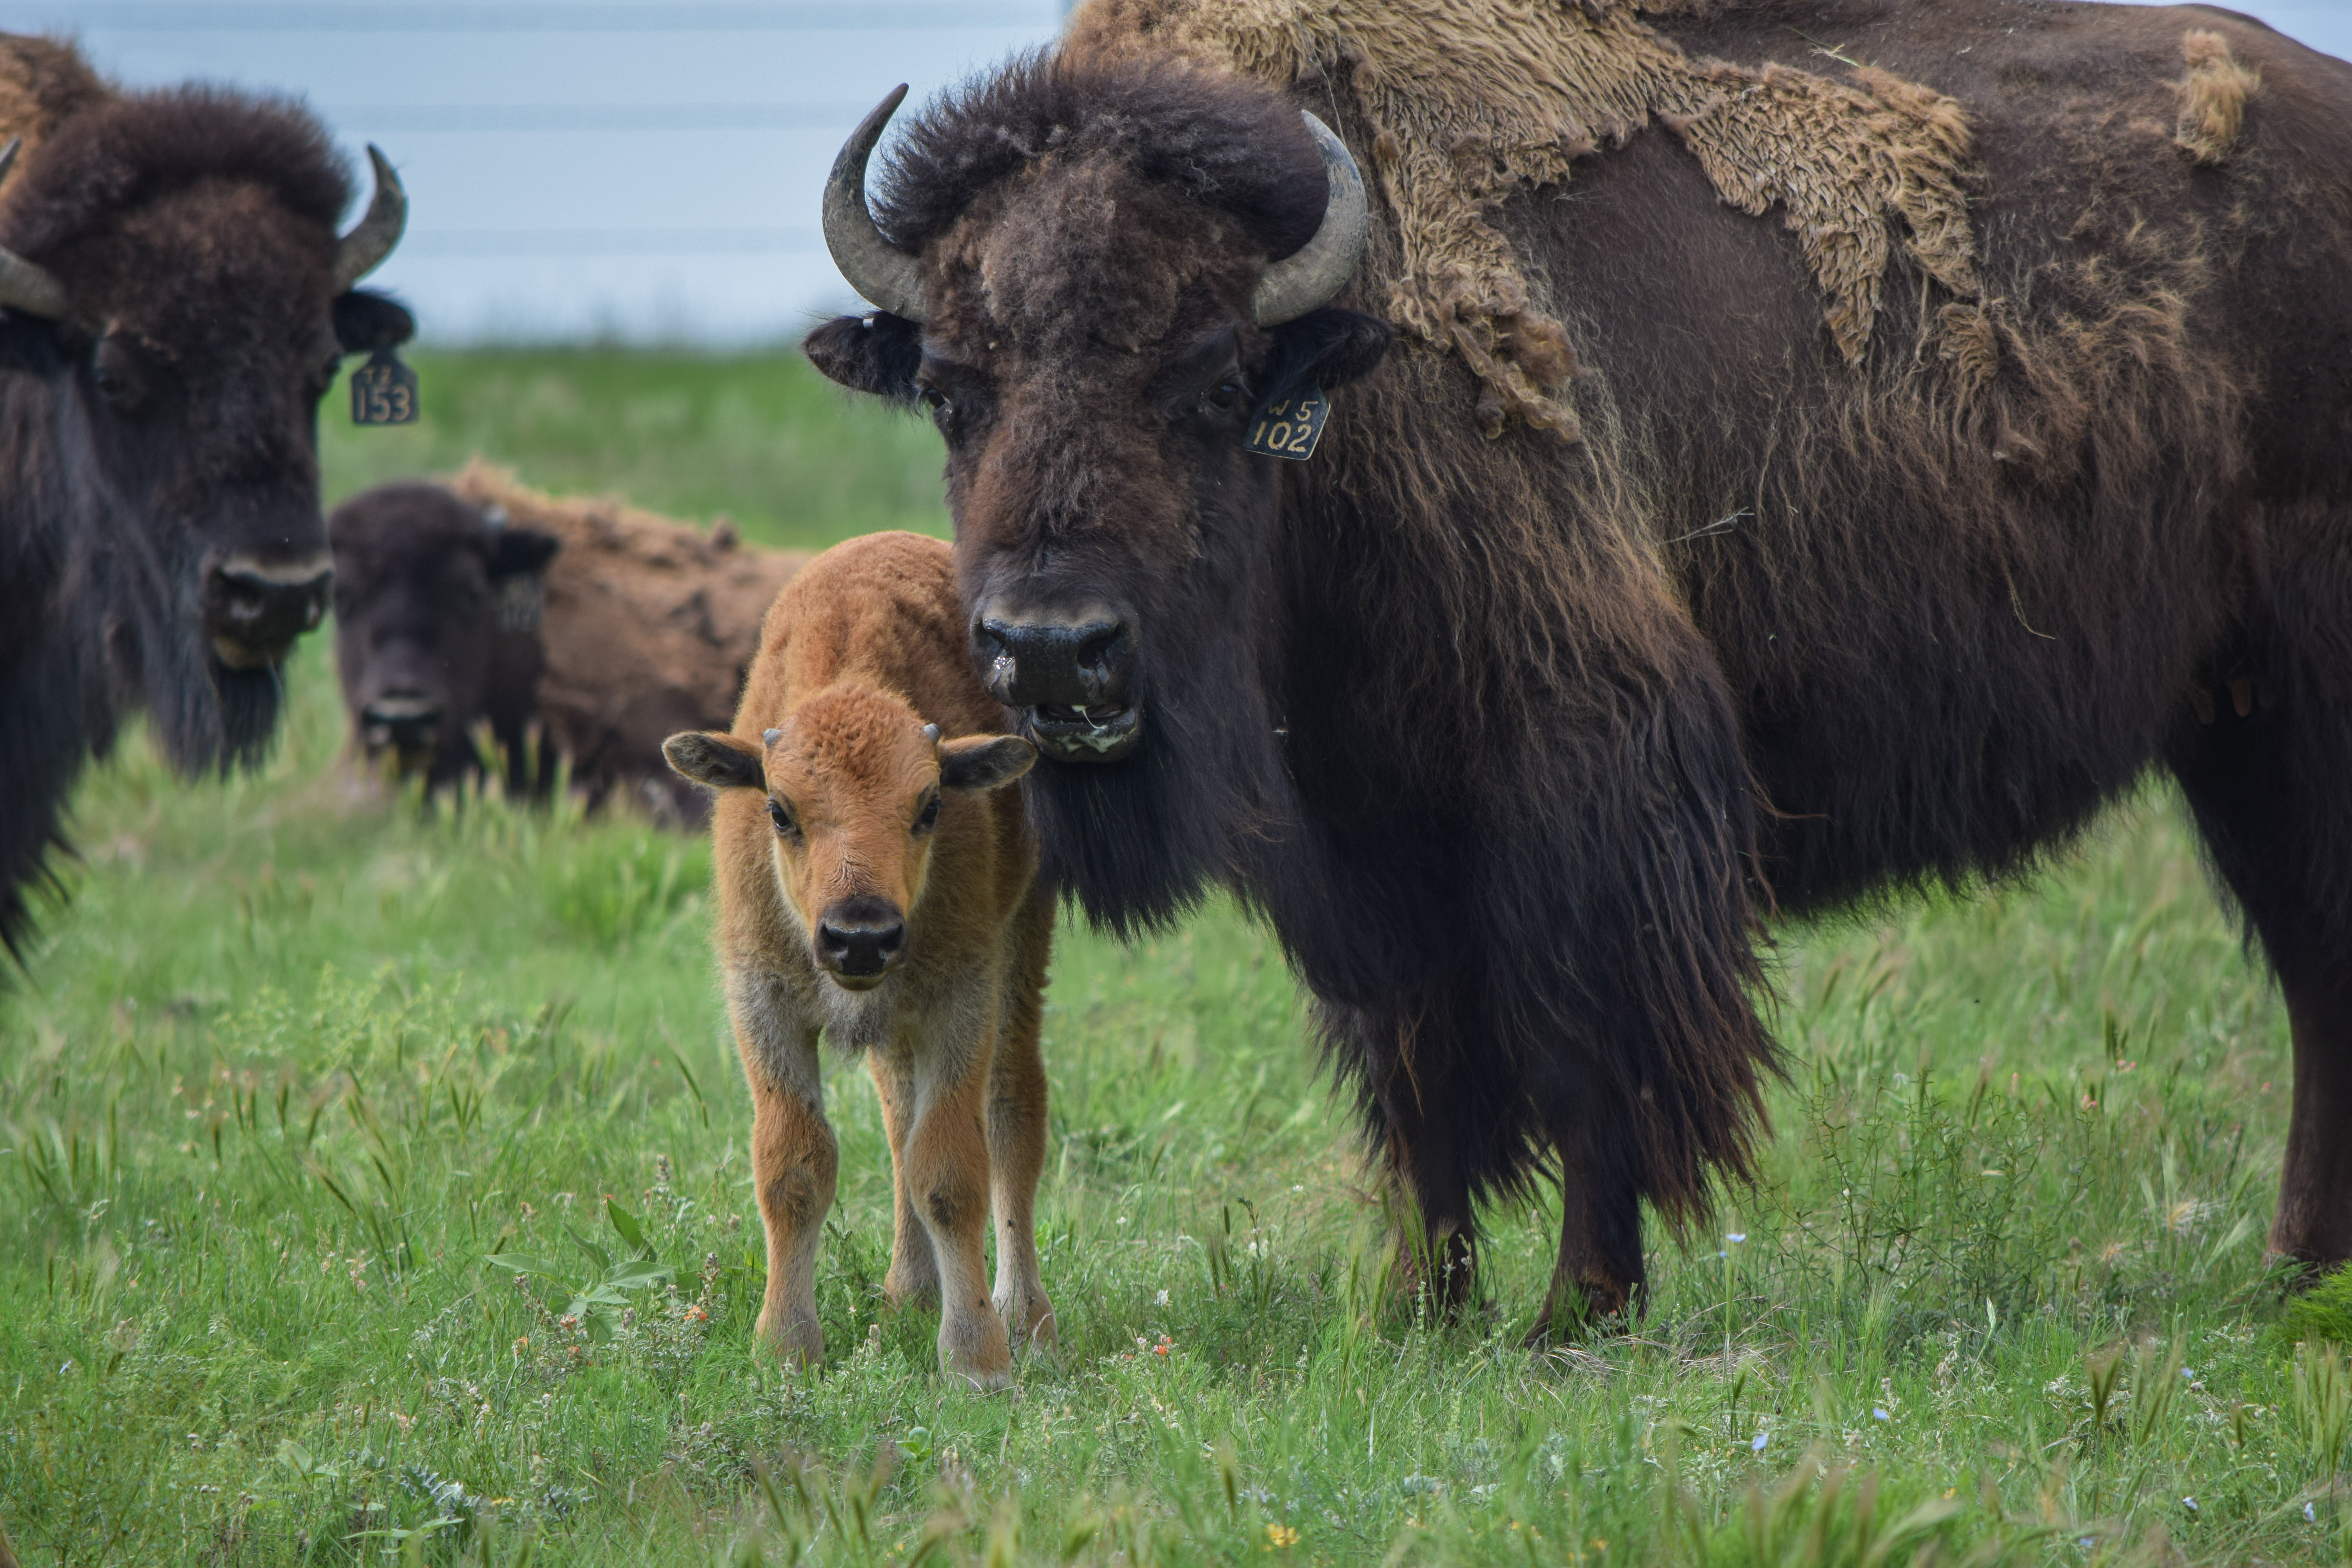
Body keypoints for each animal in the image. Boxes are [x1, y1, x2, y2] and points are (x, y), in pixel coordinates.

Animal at [673, 534, 1058, 1392]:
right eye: (779, 810)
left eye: (930, 806)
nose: (861, 936)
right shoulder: (764, 1001)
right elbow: (795, 1166)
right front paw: (785, 1350)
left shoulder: (960, 998)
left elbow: (950, 1170)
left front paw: (978, 1360)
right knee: (897, 1119)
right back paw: (908, 1292)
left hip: (1022, 949)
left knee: (1013, 1111)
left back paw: (1026, 1316)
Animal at [804, 0, 2352, 1335]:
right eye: (948, 386)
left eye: (1214, 379)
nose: (1052, 649)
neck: (1342, 404)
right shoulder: (1364, 855)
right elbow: (1418, 1082)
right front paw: (1414, 1309)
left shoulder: (1582, 778)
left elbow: (1581, 1046)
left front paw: (1577, 1309)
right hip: (2230, 732)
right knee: (2311, 968)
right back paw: (2295, 1274)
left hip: (2293, 717)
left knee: (2315, 971)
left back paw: (2290, 1271)